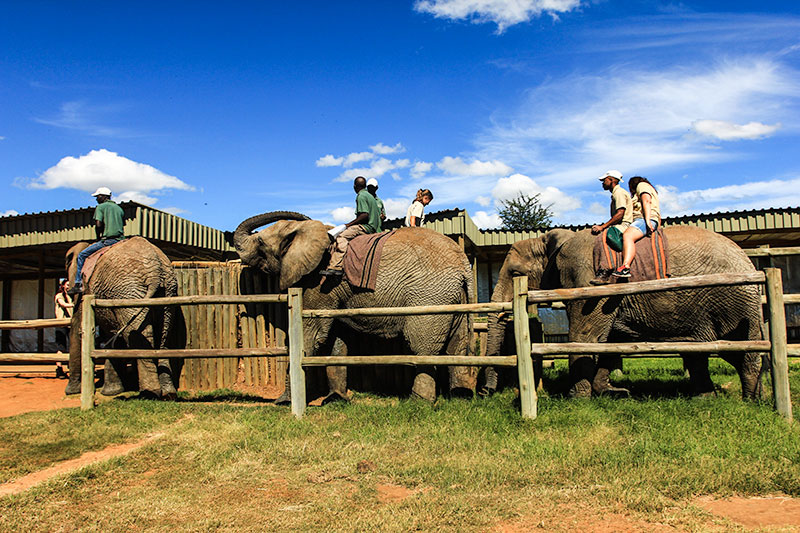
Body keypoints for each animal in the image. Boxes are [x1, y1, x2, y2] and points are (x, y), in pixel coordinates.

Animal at [63, 236, 181, 399]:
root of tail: (155, 272)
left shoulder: (84, 291)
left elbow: (78, 329)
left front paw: (71, 391)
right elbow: (112, 334)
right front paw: (112, 392)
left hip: (128, 290)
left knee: (136, 335)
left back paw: (149, 394)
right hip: (164, 292)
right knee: (163, 335)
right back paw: (168, 394)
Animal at [233, 211, 475, 403]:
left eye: (260, 243)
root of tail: (464, 263)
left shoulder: (317, 281)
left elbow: (312, 336)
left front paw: (283, 403)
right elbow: (336, 340)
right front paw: (335, 400)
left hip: (430, 296)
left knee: (421, 347)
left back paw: (419, 403)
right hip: (455, 297)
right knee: (457, 345)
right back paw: (460, 398)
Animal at [483, 226, 763, 399]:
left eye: (515, 274)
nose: (485, 393)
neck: (551, 239)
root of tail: (748, 260)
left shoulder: (588, 280)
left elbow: (587, 335)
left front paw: (575, 399)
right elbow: (609, 341)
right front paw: (613, 392)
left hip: (733, 300)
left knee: (742, 350)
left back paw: (749, 400)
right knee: (700, 351)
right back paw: (708, 398)